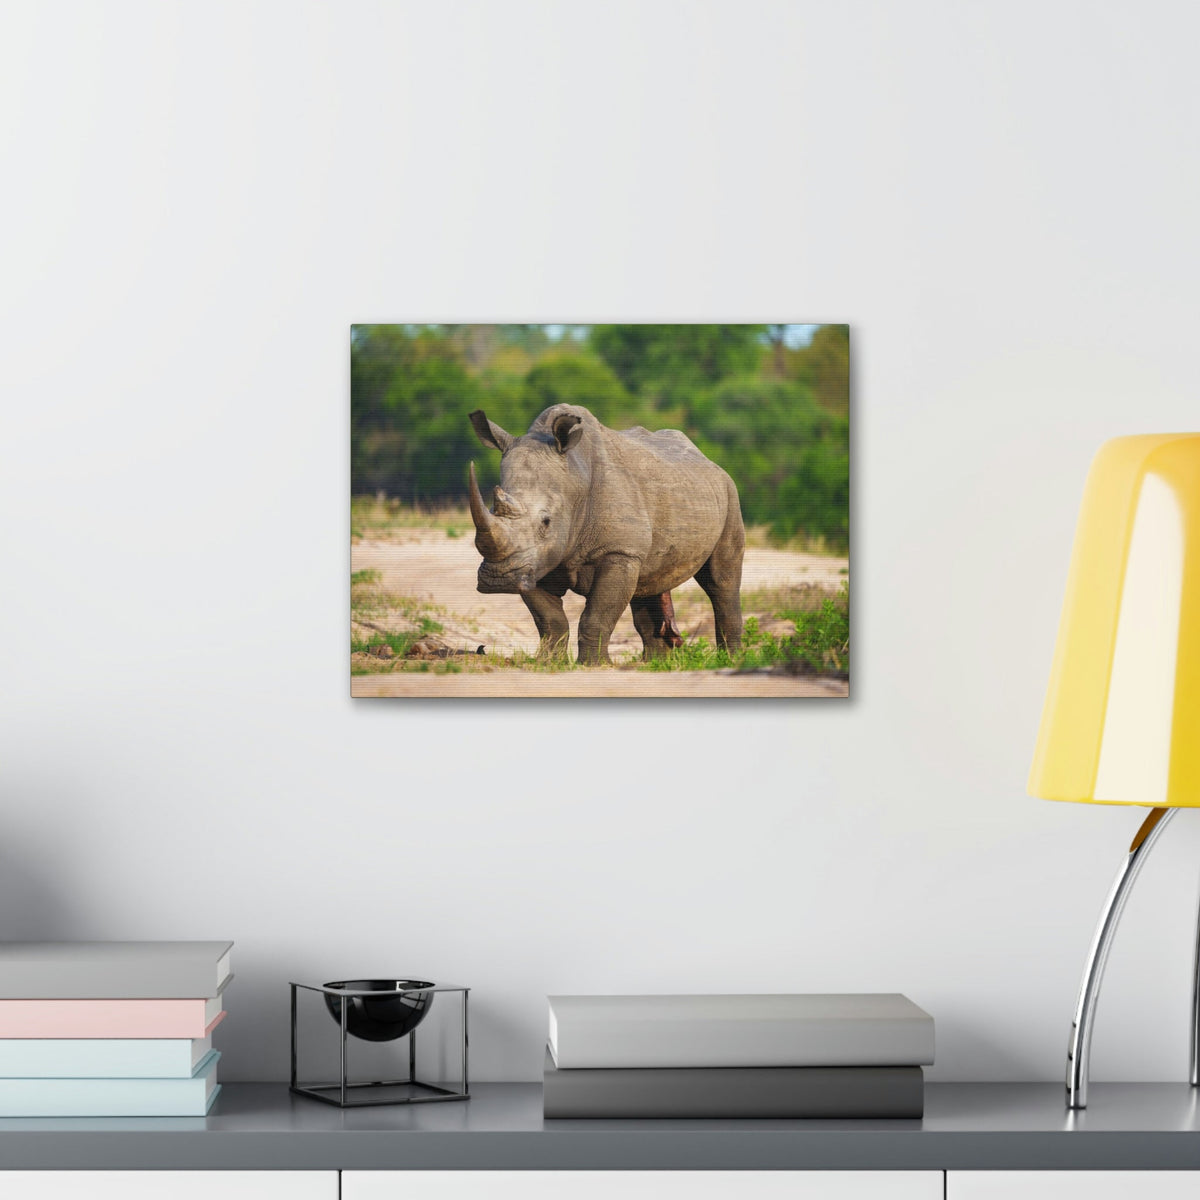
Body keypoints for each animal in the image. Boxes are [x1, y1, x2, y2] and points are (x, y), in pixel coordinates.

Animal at [467, 403, 744, 664]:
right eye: (491, 510)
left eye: (546, 522)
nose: (499, 579)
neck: (575, 479)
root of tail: (706, 458)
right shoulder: (531, 562)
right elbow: (550, 620)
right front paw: (548, 663)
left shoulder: (619, 552)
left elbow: (597, 615)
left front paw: (594, 665)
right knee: (648, 583)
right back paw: (653, 663)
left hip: (729, 492)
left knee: (721, 582)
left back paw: (730, 659)